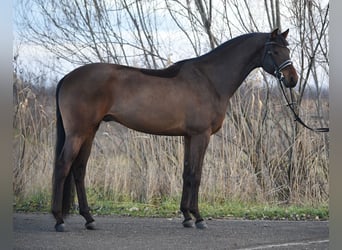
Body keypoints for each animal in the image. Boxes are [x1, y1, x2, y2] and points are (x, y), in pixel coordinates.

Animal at [52, 29, 298, 232]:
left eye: (287, 49)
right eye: (274, 50)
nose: (292, 79)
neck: (209, 79)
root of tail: (66, 77)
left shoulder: (188, 137)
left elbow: (186, 173)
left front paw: (187, 216)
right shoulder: (201, 135)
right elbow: (196, 174)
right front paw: (199, 218)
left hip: (89, 132)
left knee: (79, 170)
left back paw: (89, 219)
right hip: (78, 133)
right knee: (63, 166)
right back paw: (59, 220)